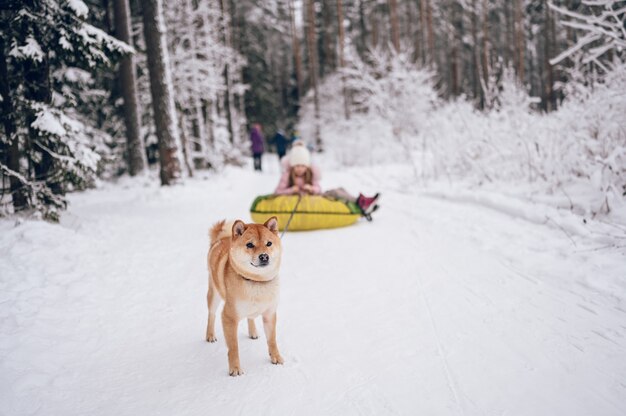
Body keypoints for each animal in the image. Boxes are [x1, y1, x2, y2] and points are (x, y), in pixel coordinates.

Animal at [205, 218, 282, 376]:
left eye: (269, 243)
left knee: (250, 317)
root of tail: (221, 238)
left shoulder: (270, 314)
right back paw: (210, 335)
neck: (256, 281)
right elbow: (233, 347)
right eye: (250, 245)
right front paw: (235, 368)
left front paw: (276, 357)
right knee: (211, 314)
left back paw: (253, 332)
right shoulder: (229, 317)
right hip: (214, 294)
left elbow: (272, 340)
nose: (264, 256)